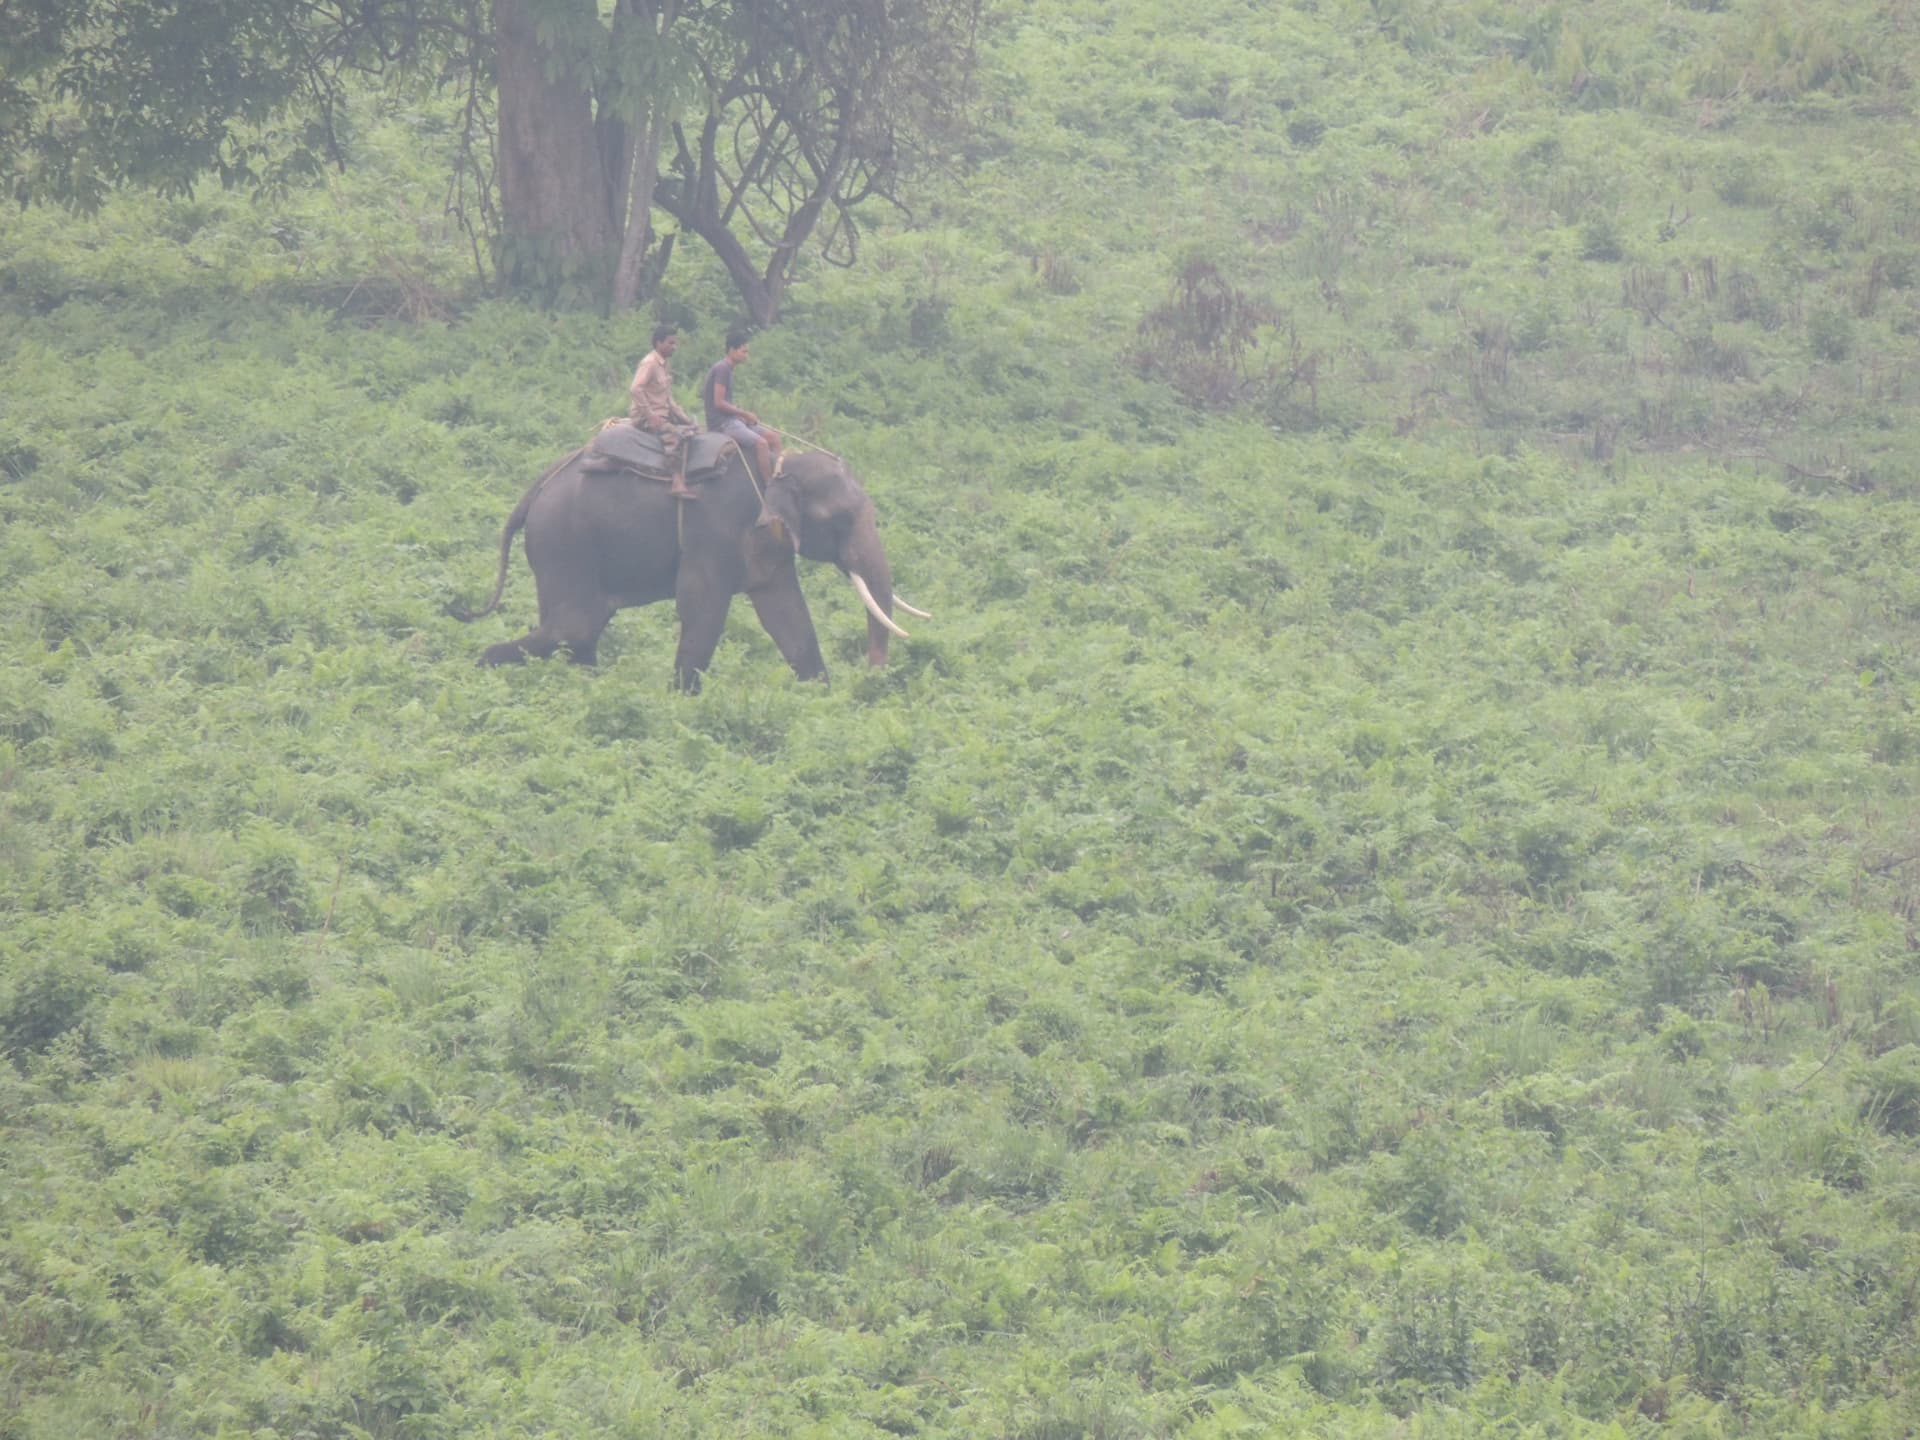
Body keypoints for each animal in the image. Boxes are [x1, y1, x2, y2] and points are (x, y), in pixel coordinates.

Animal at [455, 435, 926, 691]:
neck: (776, 464)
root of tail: (535, 490)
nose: (872, 677)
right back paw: (484, 666)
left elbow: (786, 613)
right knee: (574, 627)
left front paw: (820, 696)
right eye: (840, 519)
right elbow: (703, 607)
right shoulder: (714, 530)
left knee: (577, 632)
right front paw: (682, 702)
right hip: (566, 543)